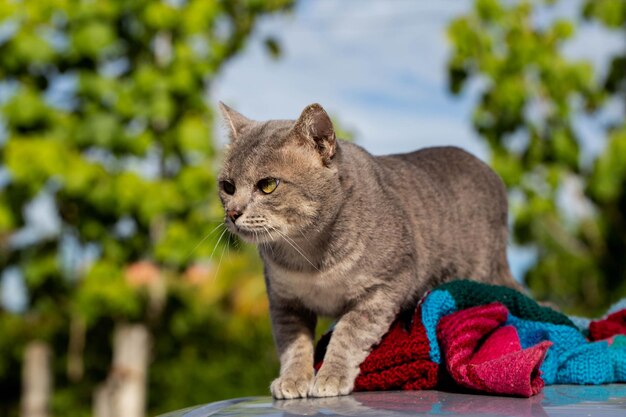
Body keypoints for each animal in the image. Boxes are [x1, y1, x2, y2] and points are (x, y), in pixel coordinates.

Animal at [217, 102, 520, 398]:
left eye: (268, 185)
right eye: (227, 186)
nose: (233, 213)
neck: (309, 255)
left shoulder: (385, 285)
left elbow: (348, 333)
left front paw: (331, 376)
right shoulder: (285, 300)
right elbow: (293, 344)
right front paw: (293, 379)